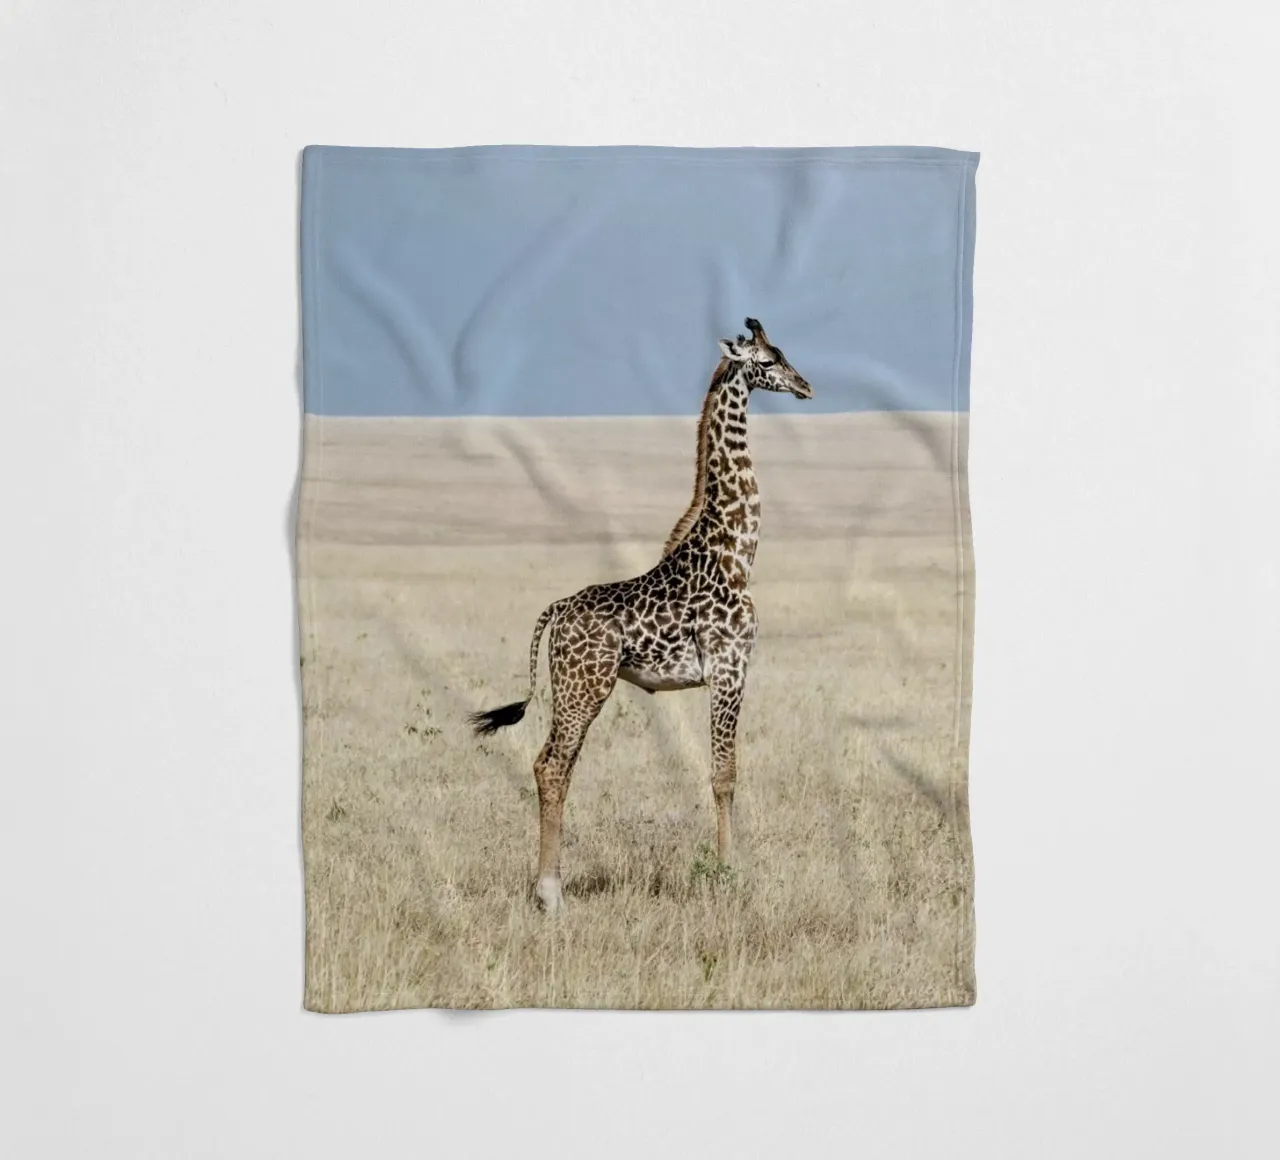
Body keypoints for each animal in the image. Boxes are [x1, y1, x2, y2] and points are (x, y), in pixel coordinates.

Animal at [470, 318, 813, 911]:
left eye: (783, 353)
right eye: (767, 362)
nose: (806, 387)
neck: (736, 553)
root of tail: (555, 611)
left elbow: (724, 771)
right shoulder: (729, 669)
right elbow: (725, 775)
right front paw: (728, 874)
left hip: (576, 688)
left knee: (552, 766)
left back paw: (549, 887)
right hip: (585, 686)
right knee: (552, 765)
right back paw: (549, 893)